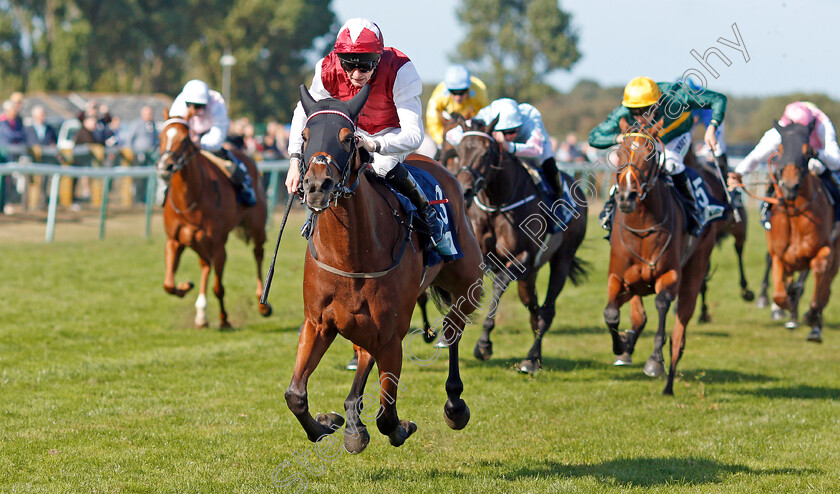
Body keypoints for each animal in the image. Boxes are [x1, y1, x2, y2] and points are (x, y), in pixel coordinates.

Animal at [156, 111, 270, 328]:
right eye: (161, 137)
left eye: (184, 139)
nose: (165, 166)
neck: (189, 201)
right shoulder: (174, 241)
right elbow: (168, 284)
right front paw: (185, 286)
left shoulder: (218, 244)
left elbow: (219, 287)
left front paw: (224, 319)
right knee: (205, 265)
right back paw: (201, 313)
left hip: (256, 225)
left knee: (258, 253)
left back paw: (262, 304)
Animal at [288, 84, 482, 452]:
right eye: (304, 136)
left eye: (348, 138)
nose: (316, 185)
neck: (351, 254)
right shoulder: (317, 323)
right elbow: (295, 395)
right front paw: (328, 423)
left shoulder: (392, 335)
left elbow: (387, 414)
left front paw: (396, 426)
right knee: (363, 355)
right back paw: (350, 417)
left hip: (468, 284)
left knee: (452, 329)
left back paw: (455, 405)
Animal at [450, 114, 588, 372]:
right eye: (460, 150)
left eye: (486, 153)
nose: (464, 190)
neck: (497, 204)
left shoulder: (522, 257)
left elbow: (498, 285)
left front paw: (484, 345)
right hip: (530, 275)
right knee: (534, 308)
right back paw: (536, 357)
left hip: (561, 260)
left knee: (547, 311)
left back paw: (530, 360)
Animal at [608, 118, 720, 394]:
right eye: (619, 153)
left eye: (649, 156)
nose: (626, 196)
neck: (641, 229)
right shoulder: (617, 277)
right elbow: (612, 314)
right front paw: (621, 345)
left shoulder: (669, 275)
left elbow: (661, 306)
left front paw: (654, 361)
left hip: (695, 269)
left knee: (678, 336)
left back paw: (668, 385)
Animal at [756, 121, 836, 342]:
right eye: (780, 148)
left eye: (808, 151)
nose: (790, 186)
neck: (795, 214)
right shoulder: (779, 255)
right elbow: (779, 294)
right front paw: (785, 307)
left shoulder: (824, 249)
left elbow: (819, 270)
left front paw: (811, 315)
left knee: (826, 284)